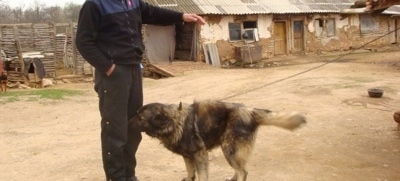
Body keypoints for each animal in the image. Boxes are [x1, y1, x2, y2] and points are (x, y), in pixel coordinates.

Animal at [131, 99, 306, 180]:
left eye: (140, 118)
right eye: (137, 115)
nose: (127, 121)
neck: (175, 122)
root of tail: (250, 111)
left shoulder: (200, 154)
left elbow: (202, 175)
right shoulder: (188, 156)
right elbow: (190, 171)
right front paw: (188, 178)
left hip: (228, 148)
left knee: (243, 172)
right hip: (230, 149)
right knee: (239, 169)